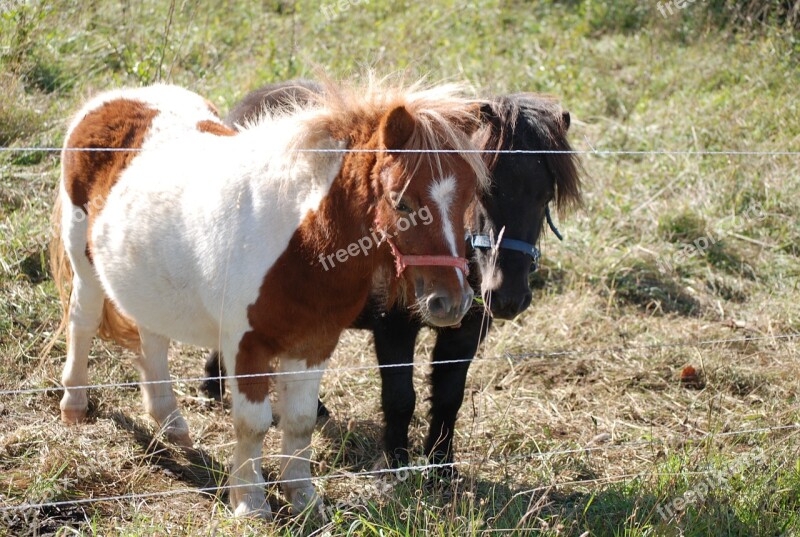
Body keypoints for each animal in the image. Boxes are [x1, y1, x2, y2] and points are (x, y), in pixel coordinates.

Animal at [51, 78, 488, 516]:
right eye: (402, 202)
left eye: (470, 199)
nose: (452, 302)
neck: (301, 243)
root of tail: (110, 100)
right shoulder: (246, 346)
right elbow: (254, 423)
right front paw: (250, 502)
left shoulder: (315, 344)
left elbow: (300, 420)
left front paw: (303, 497)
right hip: (86, 267)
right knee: (82, 323)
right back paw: (74, 405)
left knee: (152, 337)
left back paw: (171, 424)